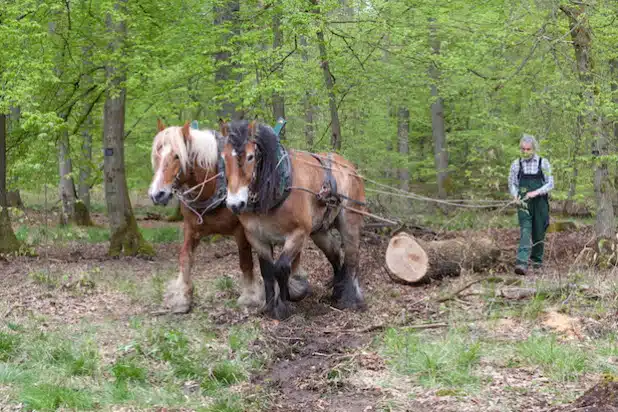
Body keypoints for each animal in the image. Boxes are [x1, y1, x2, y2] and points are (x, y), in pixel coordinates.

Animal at [145, 120, 308, 314]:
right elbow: (185, 258)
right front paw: (182, 298)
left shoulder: (241, 231)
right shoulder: (191, 229)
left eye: (177, 156)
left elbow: (245, 261)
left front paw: (250, 296)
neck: (212, 188)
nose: (157, 194)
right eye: (157, 155)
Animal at [220, 119, 366, 318]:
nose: (235, 204)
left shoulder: (298, 234)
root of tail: (351, 168)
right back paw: (337, 292)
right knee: (336, 255)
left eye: (250, 157)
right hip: (319, 231)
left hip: (350, 223)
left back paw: (349, 300)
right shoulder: (256, 237)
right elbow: (267, 271)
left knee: (352, 258)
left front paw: (284, 304)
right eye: (223, 157)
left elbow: (281, 268)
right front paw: (269, 306)